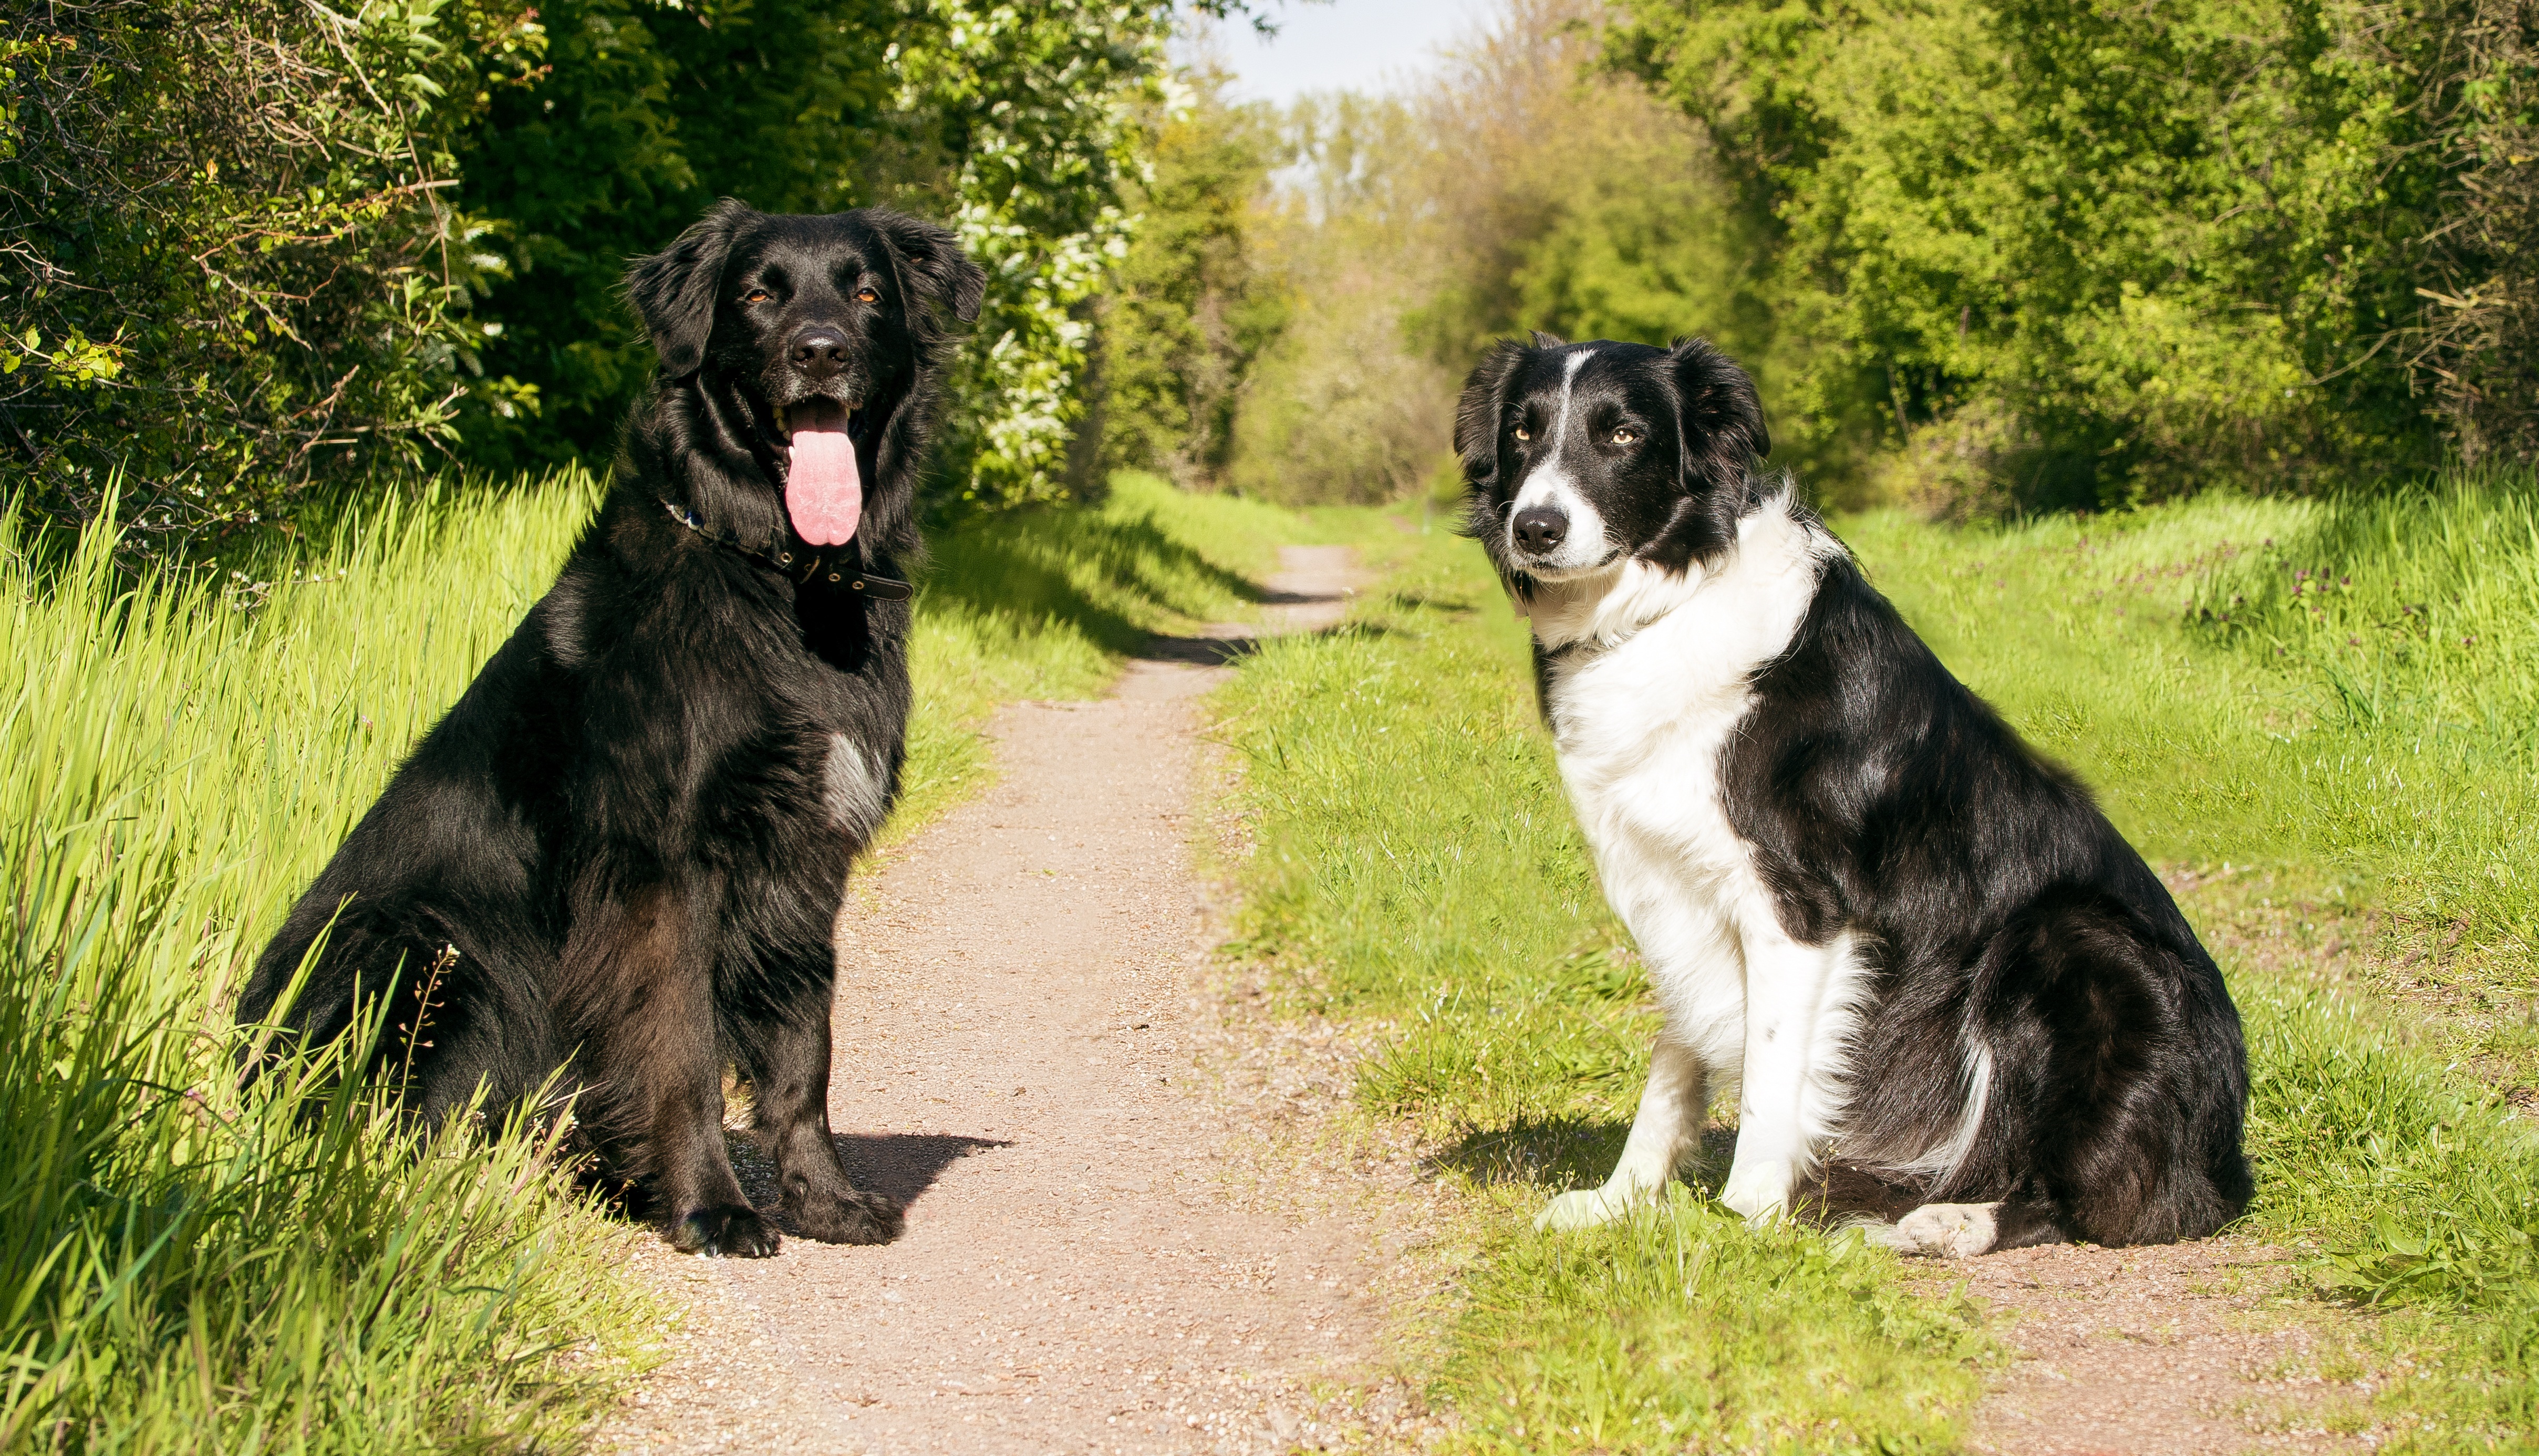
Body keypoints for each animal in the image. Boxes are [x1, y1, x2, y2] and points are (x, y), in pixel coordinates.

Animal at [239, 200, 985, 1263]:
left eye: (868, 292)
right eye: (760, 293)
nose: (821, 351)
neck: (774, 575)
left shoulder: (806, 866)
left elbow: (805, 1055)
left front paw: (823, 1201)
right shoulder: (661, 867)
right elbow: (680, 1051)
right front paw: (712, 1207)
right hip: (426, 943)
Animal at [1462, 340, 2254, 1258]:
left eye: (1622, 433)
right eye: (1523, 431)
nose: (1535, 528)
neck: (1666, 602)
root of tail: (2224, 1155)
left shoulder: (1797, 905)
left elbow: (1771, 1077)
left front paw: (1743, 1224)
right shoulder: (1676, 886)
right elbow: (1675, 1058)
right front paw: (1619, 1200)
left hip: (2068, 941)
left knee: (2100, 1197)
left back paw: (1954, 1220)